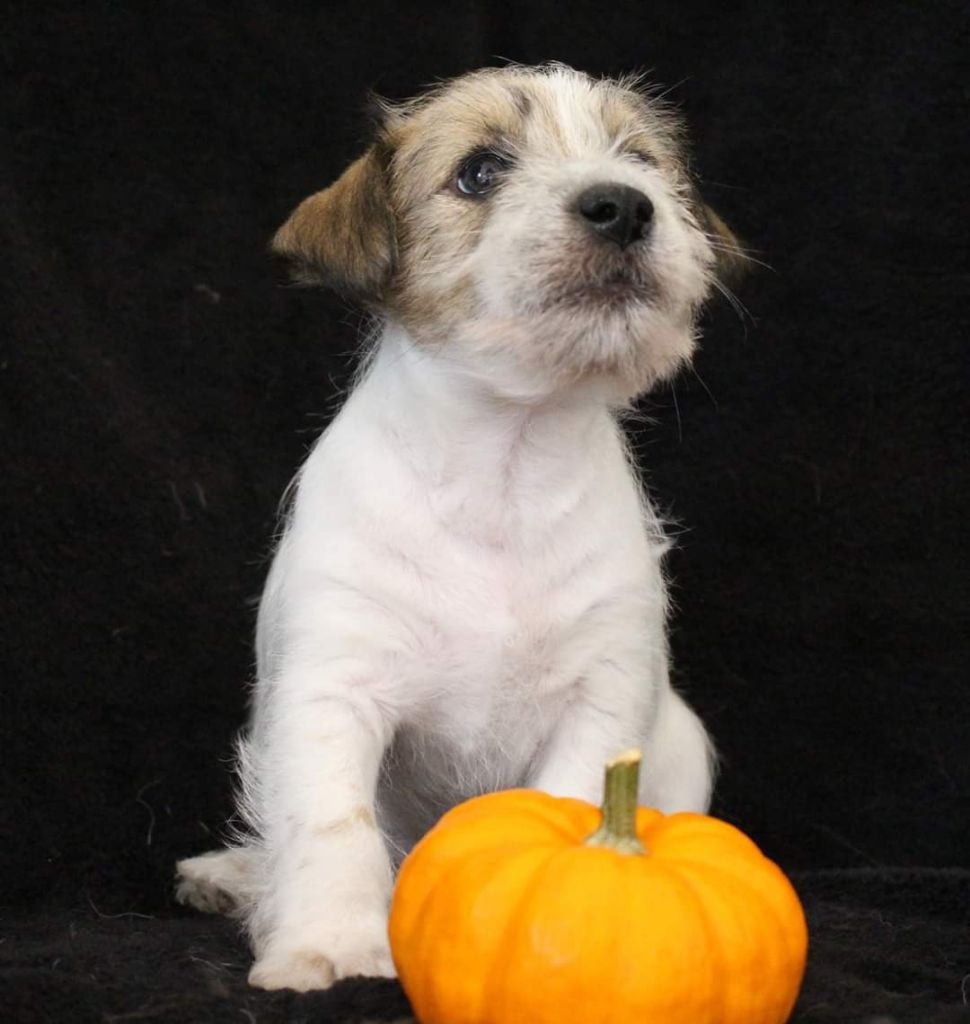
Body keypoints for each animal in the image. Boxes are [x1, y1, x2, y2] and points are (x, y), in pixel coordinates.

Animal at [174, 61, 741, 991]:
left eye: (639, 160)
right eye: (479, 171)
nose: (624, 205)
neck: (503, 465)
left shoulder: (601, 698)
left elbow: (572, 799)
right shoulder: (333, 690)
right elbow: (333, 826)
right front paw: (332, 944)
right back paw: (233, 876)